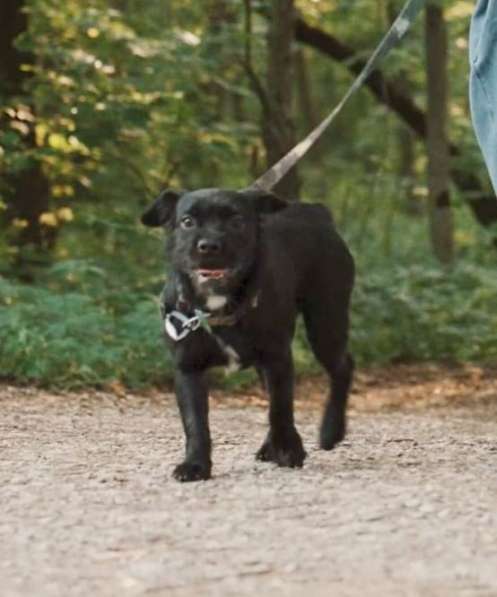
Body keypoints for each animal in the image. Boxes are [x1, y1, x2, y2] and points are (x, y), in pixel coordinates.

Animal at [141, 189, 354, 482]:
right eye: (187, 221)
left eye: (237, 221)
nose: (209, 245)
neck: (218, 308)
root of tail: (317, 211)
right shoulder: (188, 368)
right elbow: (195, 423)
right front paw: (195, 464)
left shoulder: (278, 358)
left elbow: (280, 409)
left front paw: (288, 449)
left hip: (325, 323)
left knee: (343, 367)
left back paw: (331, 431)